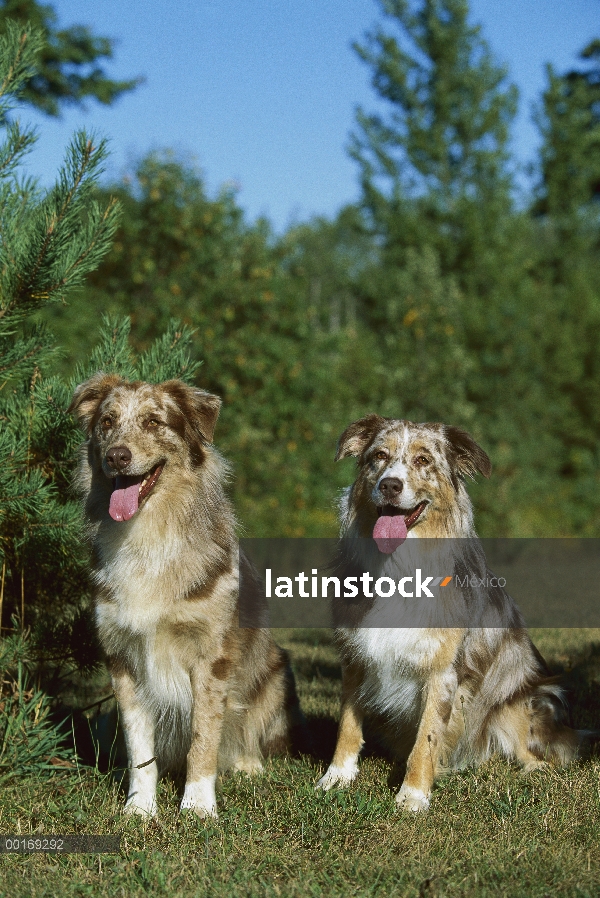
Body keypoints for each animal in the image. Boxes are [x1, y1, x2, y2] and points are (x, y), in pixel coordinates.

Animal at [69, 374, 298, 816]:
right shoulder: (123, 657)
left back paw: (248, 765)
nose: (117, 457)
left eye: (154, 422)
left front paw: (197, 806)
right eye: (107, 422)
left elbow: (203, 737)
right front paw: (139, 808)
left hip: (275, 674)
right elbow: (139, 744)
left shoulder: (210, 657)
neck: (148, 535)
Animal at [318, 416, 580, 808]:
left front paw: (412, 797)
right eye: (379, 456)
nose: (390, 485)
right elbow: (348, 724)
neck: (398, 567)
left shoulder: (443, 670)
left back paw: (534, 770)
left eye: (423, 460)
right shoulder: (355, 655)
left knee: (532, 747)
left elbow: (426, 740)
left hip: (521, 695)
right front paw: (337, 776)